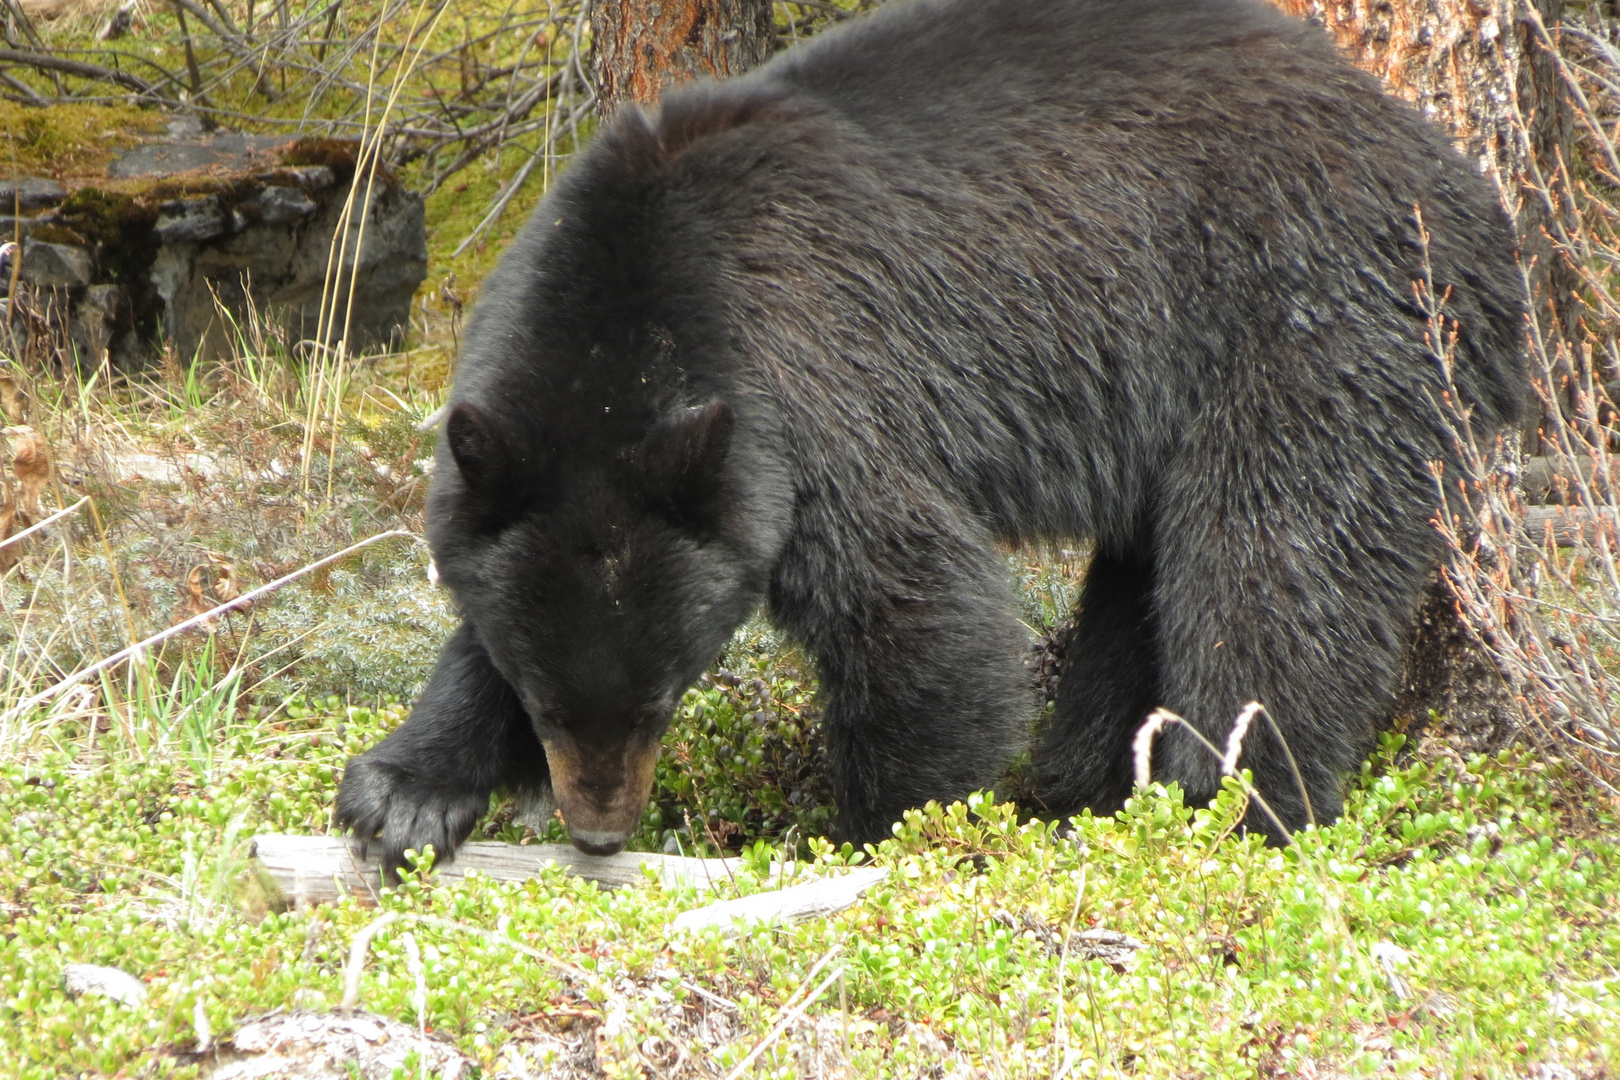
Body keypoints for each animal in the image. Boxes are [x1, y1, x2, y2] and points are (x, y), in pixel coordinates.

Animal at [335, 0, 1522, 867]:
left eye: (672, 688)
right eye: (544, 697)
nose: (599, 829)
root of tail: (1466, 190)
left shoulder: (817, 396)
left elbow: (914, 606)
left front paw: (880, 835)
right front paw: (403, 790)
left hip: (1308, 316)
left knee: (1277, 563)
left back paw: (1234, 800)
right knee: (1143, 584)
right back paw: (1089, 783)